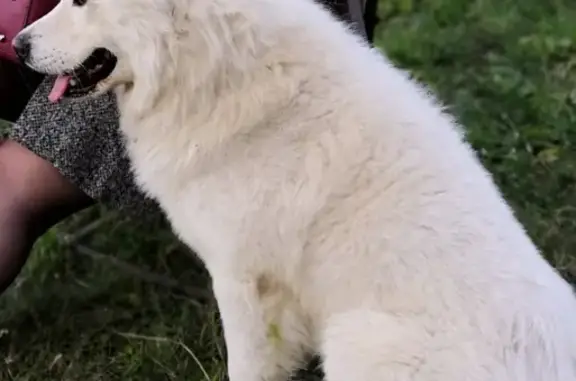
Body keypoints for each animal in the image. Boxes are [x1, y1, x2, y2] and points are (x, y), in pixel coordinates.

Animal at [12, 0, 576, 378]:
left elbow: (247, 365)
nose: (16, 45)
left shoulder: (243, 281)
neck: (212, 69)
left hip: (355, 339)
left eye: (81, 1)